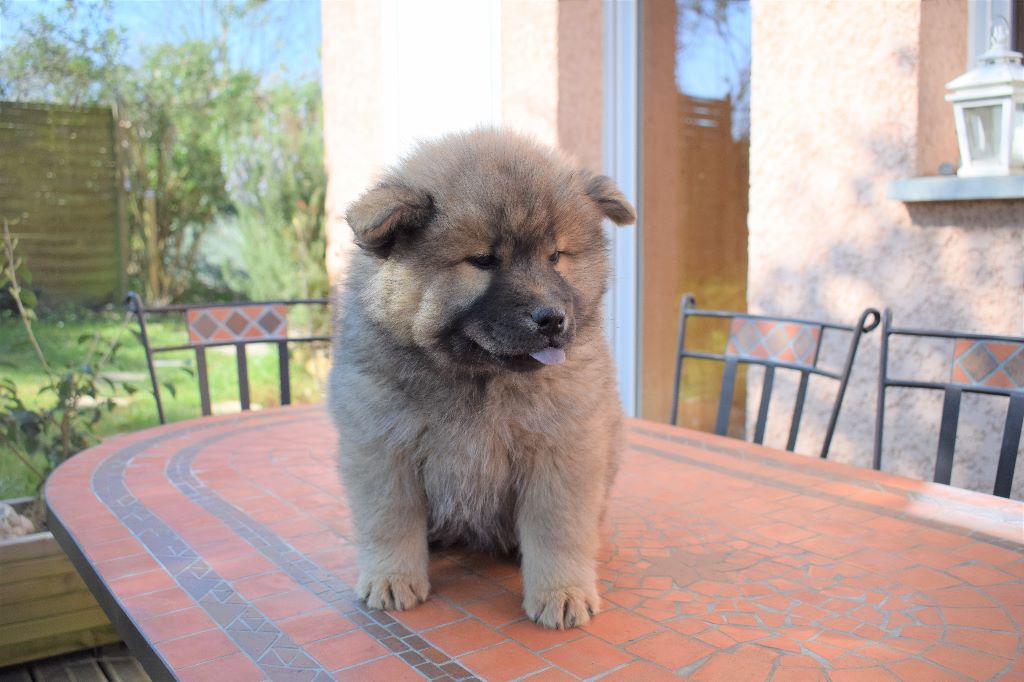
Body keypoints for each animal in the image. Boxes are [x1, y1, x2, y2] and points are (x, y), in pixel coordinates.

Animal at [327, 128, 636, 629]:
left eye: (556, 256)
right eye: (484, 260)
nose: (552, 319)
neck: (477, 379)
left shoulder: (561, 451)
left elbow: (559, 529)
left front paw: (561, 592)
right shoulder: (383, 448)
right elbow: (389, 520)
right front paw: (393, 578)